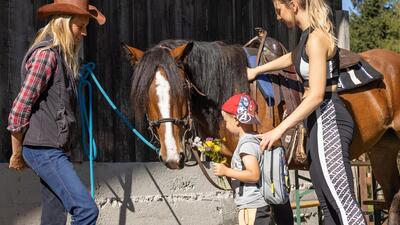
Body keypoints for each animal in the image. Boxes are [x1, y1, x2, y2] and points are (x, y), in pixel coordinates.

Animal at [123, 39, 398, 222]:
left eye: (182, 87)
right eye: (144, 92)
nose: (172, 156)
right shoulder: (234, 167)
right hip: (382, 149)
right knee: (393, 197)